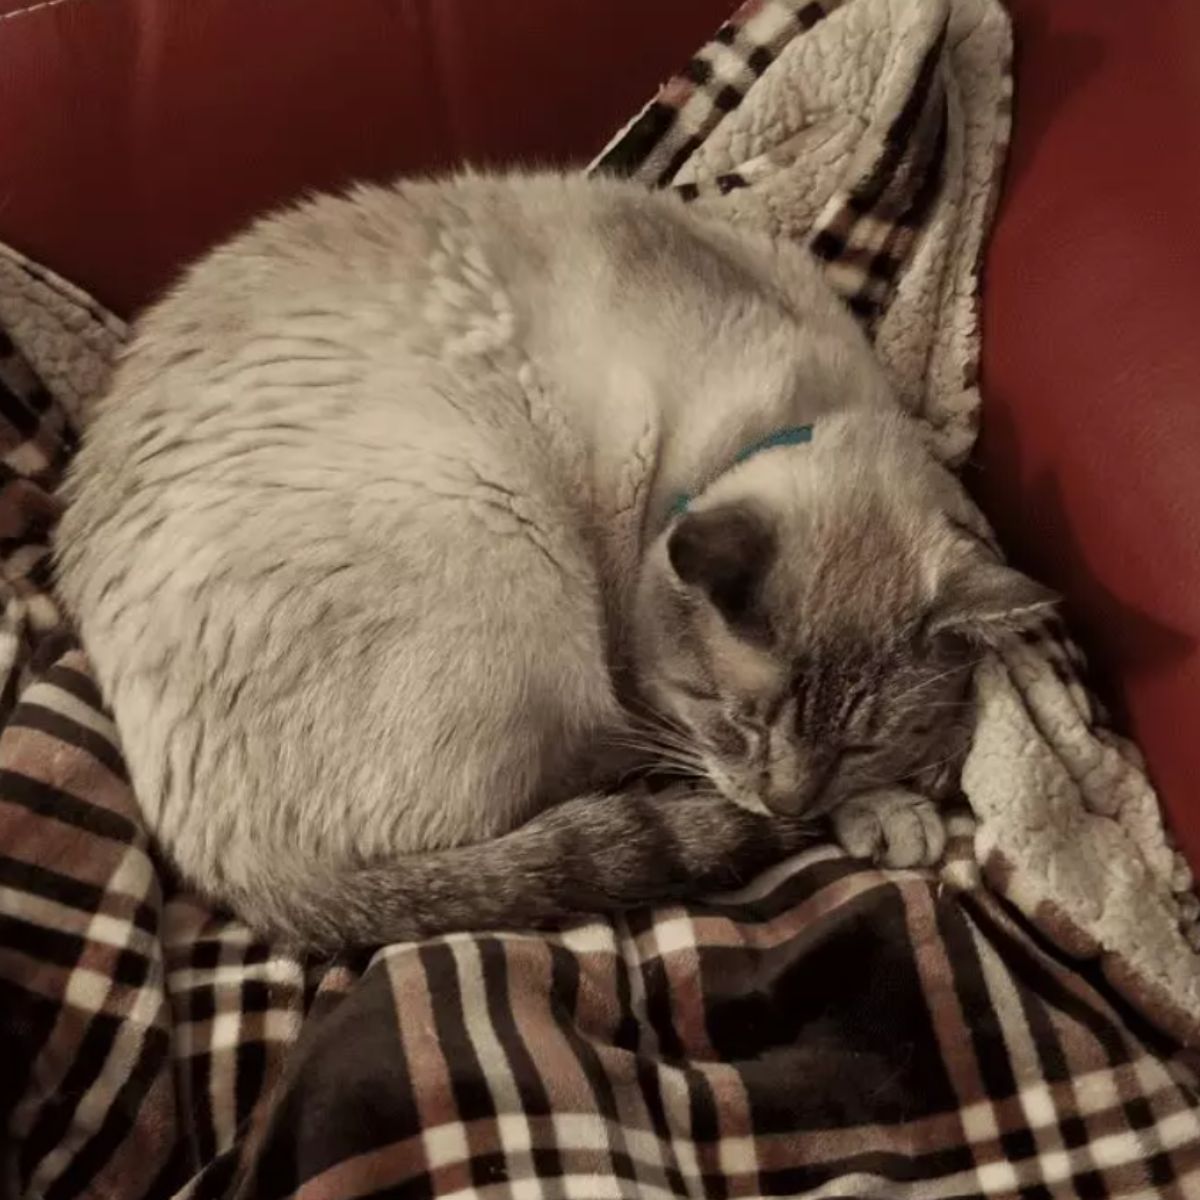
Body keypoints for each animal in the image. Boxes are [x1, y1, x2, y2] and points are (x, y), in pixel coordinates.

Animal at [54, 171, 1051, 955]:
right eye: (737, 722)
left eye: (864, 741)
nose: (782, 804)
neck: (790, 409)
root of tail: (223, 869)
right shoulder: (660, 684)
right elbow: (689, 755)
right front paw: (884, 811)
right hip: (500, 524)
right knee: (583, 787)